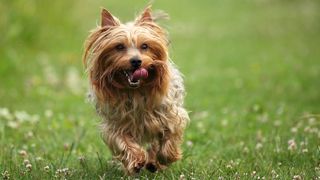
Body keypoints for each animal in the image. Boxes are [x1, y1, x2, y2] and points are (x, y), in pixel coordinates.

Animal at [82, 5, 190, 174]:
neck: (136, 91)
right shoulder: (117, 123)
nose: (136, 61)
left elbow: (169, 136)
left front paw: (165, 157)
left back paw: (154, 162)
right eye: (119, 46)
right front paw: (136, 160)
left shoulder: (170, 115)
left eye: (145, 46)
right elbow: (122, 141)